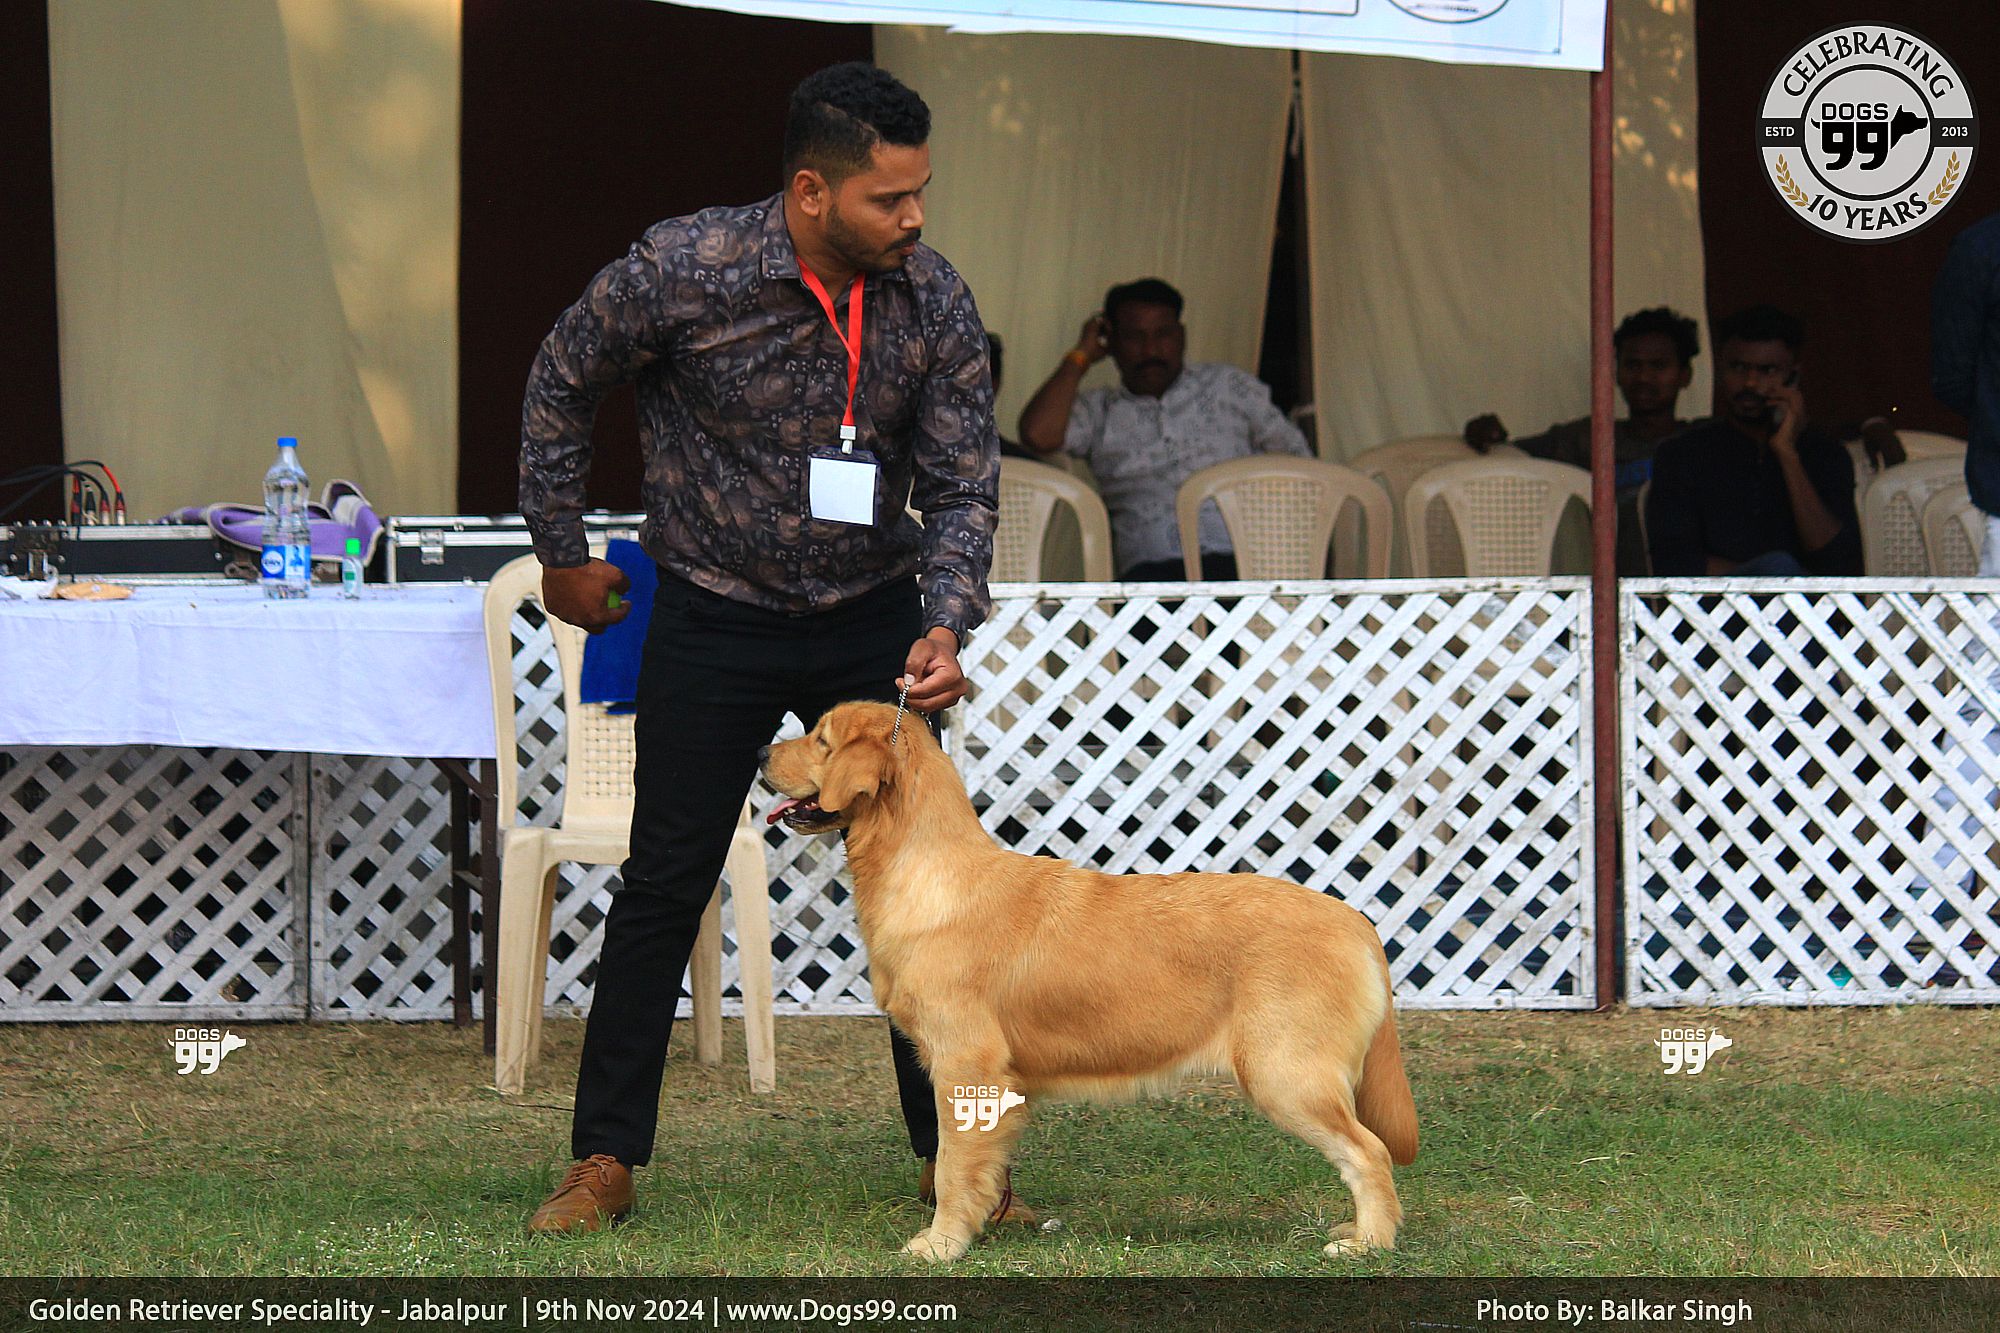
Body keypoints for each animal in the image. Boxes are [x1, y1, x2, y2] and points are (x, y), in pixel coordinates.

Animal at [759, 701, 1417, 1263]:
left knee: (1370, 1152)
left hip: (1286, 1073)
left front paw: (940, 1246)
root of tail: (1357, 921)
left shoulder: (964, 1063)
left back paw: (1368, 1242)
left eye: (821, 740)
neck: (926, 872)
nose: (763, 752)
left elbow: (951, 1167)